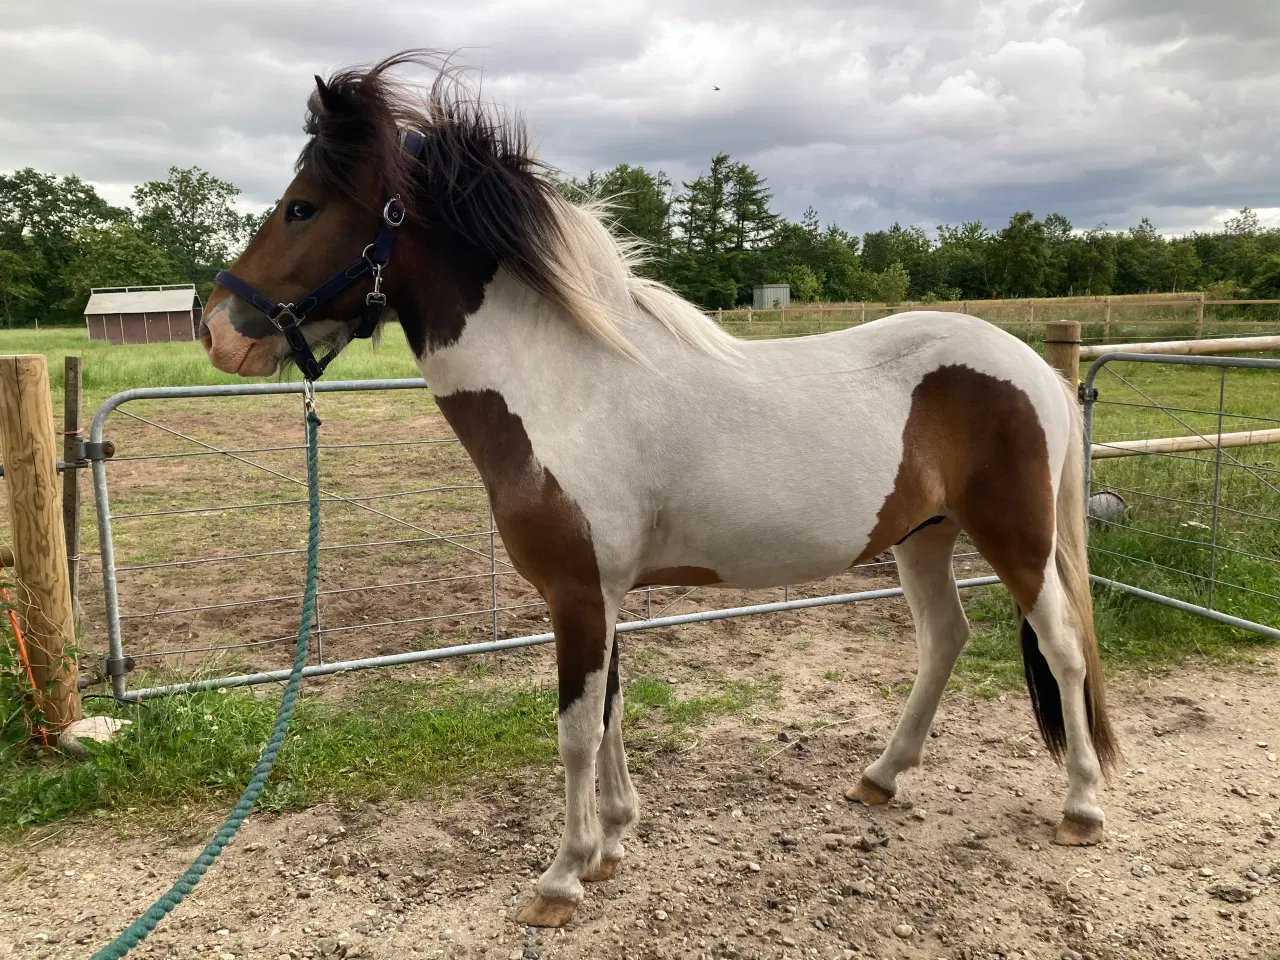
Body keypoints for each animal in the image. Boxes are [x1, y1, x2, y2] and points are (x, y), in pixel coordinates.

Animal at [199, 50, 1121, 926]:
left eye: (303, 207)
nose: (215, 330)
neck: (566, 389)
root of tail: (1032, 366)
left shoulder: (577, 591)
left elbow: (575, 728)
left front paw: (562, 878)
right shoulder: (601, 593)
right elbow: (609, 710)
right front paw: (609, 843)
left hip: (1016, 539)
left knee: (1065, 648)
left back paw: (1080, 806)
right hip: (924, 536)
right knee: (945, 639)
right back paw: (881, 775)